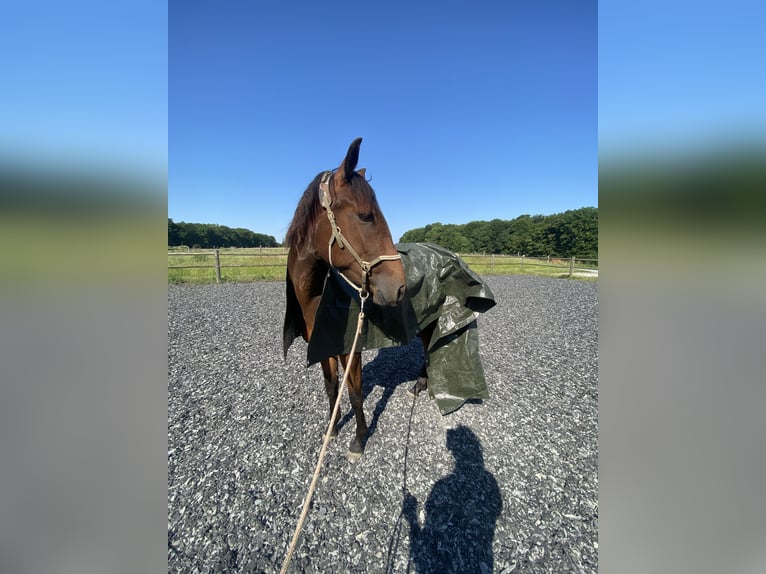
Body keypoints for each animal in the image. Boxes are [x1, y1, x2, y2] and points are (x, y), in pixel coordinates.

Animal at [284, 140, 412, 464]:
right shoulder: (324, 347)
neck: (319, 301)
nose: (399, 287)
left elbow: (354, 392)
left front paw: (359, 440)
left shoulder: (349, 350)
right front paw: (332, 429)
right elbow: (331, 387)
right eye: (365, 215)